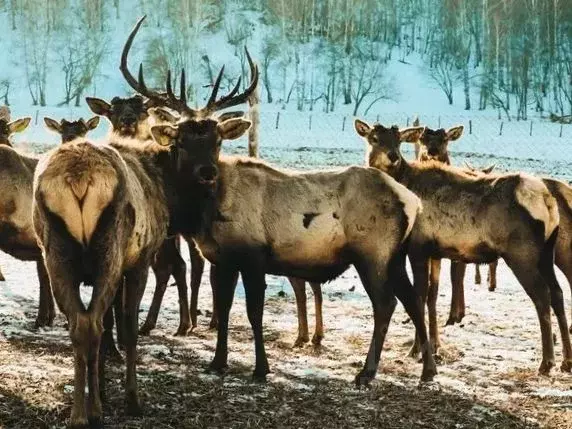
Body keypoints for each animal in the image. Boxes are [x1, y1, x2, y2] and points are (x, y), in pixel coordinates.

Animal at [122, 16, 438, 384]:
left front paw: (260, 368)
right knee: (412, 299)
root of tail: (411, 201)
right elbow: (223, 308)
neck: (207, 214)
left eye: (216, 140)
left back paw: (367, 371)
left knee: (386, 303)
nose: (207, 172)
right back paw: (428, 369)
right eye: (182, 140)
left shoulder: (254, 254)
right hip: (395, 254)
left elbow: (253, 312)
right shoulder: (222, 258)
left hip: (372, 251)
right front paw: (217, 361)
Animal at [354, 118, 572, 372]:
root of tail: (548, 202)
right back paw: (566, 360)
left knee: (542, 294)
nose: (393, 156)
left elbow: (418, 297)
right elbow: (428, 295)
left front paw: (416, 350)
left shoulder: (418, 246)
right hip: (547, 252)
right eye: (374, 138)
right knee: (557, 292)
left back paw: (547, 362)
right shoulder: (434, 251)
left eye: (398, 140)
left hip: (522, 253)